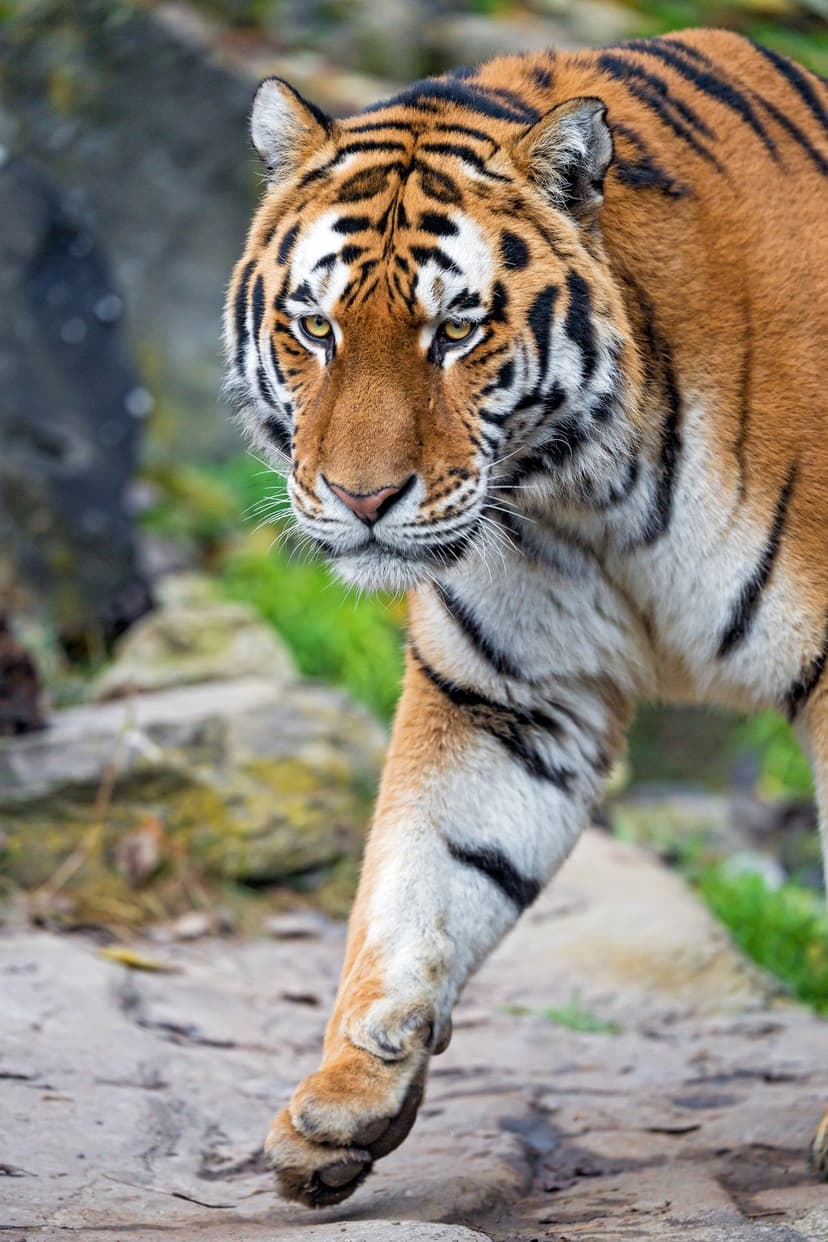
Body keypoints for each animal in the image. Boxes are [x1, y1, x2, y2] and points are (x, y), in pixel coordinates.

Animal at [224, 27, 828, 1207]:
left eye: (455, 330)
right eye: (315, 326)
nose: (363, 498)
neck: (589, 488)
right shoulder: (508, 694)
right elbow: (425, 873)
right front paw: (343, 1101)